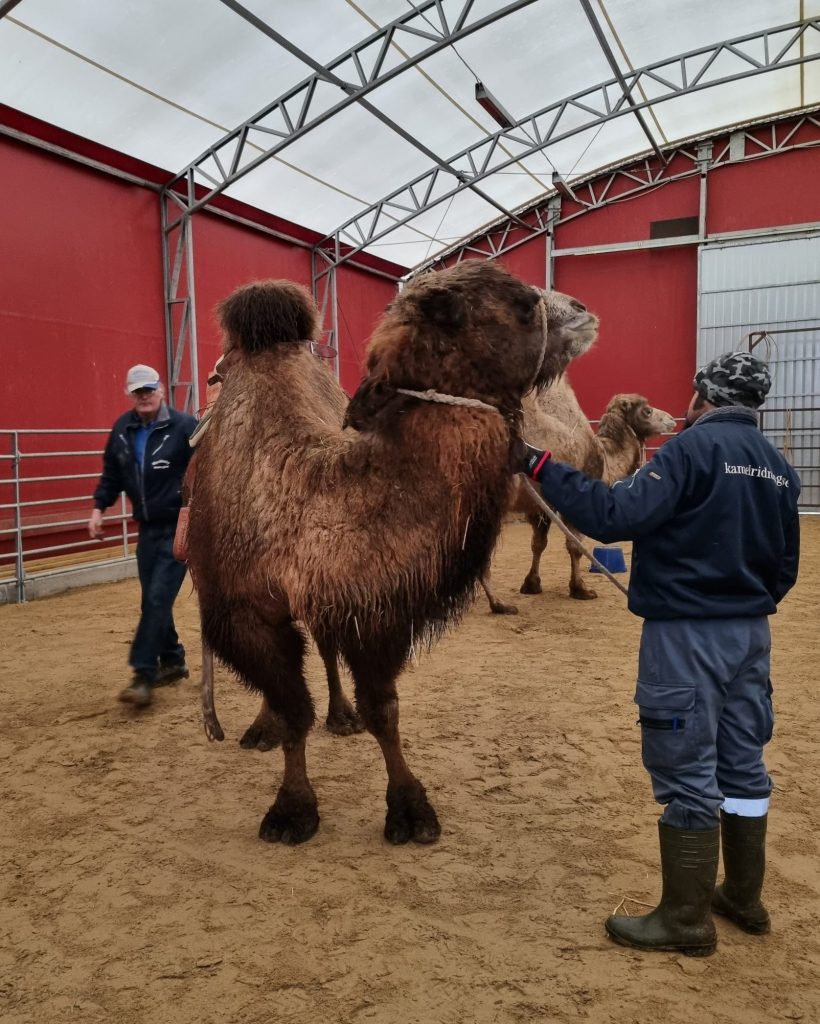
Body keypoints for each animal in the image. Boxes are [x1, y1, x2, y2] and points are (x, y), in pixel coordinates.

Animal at [185, 264, 593, 847]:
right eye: (519, 304)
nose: (583, 310)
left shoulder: (374, 609)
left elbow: (384, 711)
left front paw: (410, 809)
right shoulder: (242, 613)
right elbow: (293, 710)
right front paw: (291, 809)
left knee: (325, 650)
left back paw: (340, 715)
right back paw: (263, 727)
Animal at [477, 380, 675, 610]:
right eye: (647, 411)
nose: (671, 419)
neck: (605, 459)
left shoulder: (541, 505)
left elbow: (538, 543)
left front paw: (531, 584)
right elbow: (575, 546)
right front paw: (580, 589)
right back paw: (498, 603)